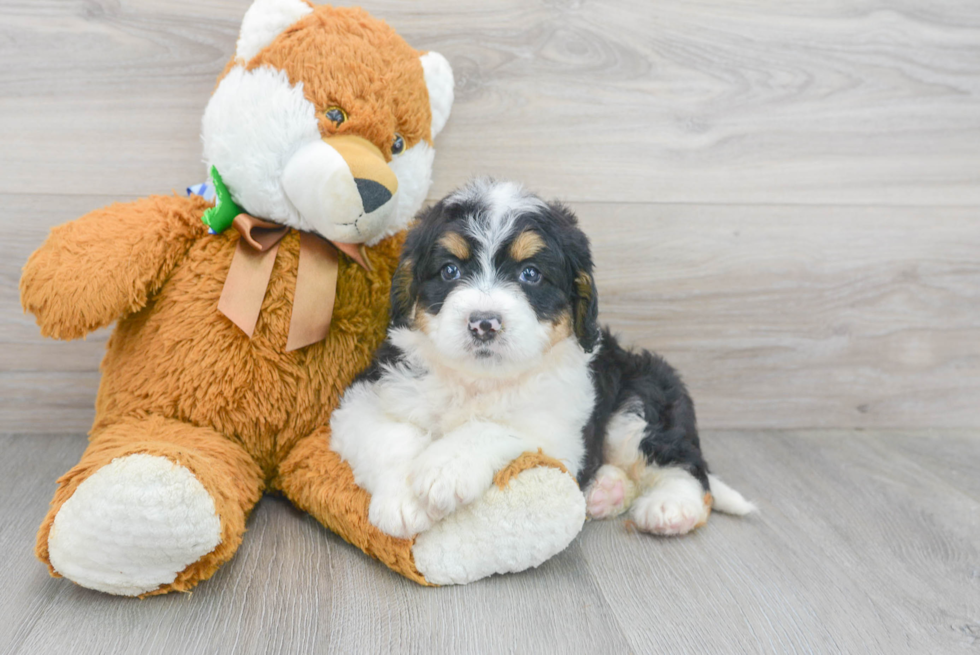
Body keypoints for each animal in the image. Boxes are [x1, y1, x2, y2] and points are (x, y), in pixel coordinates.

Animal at [334, 178, 756, 540]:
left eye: (531, 274)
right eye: (449, 270)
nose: (484, 323)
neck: (479, 381)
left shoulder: (558, 432)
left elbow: (495, 427)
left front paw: (445, 467)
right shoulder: (364, 398)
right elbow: (389, 437)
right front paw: (402, 501)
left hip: (645, 396)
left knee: (685, 466)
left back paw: (670, 507)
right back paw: (607, 491)